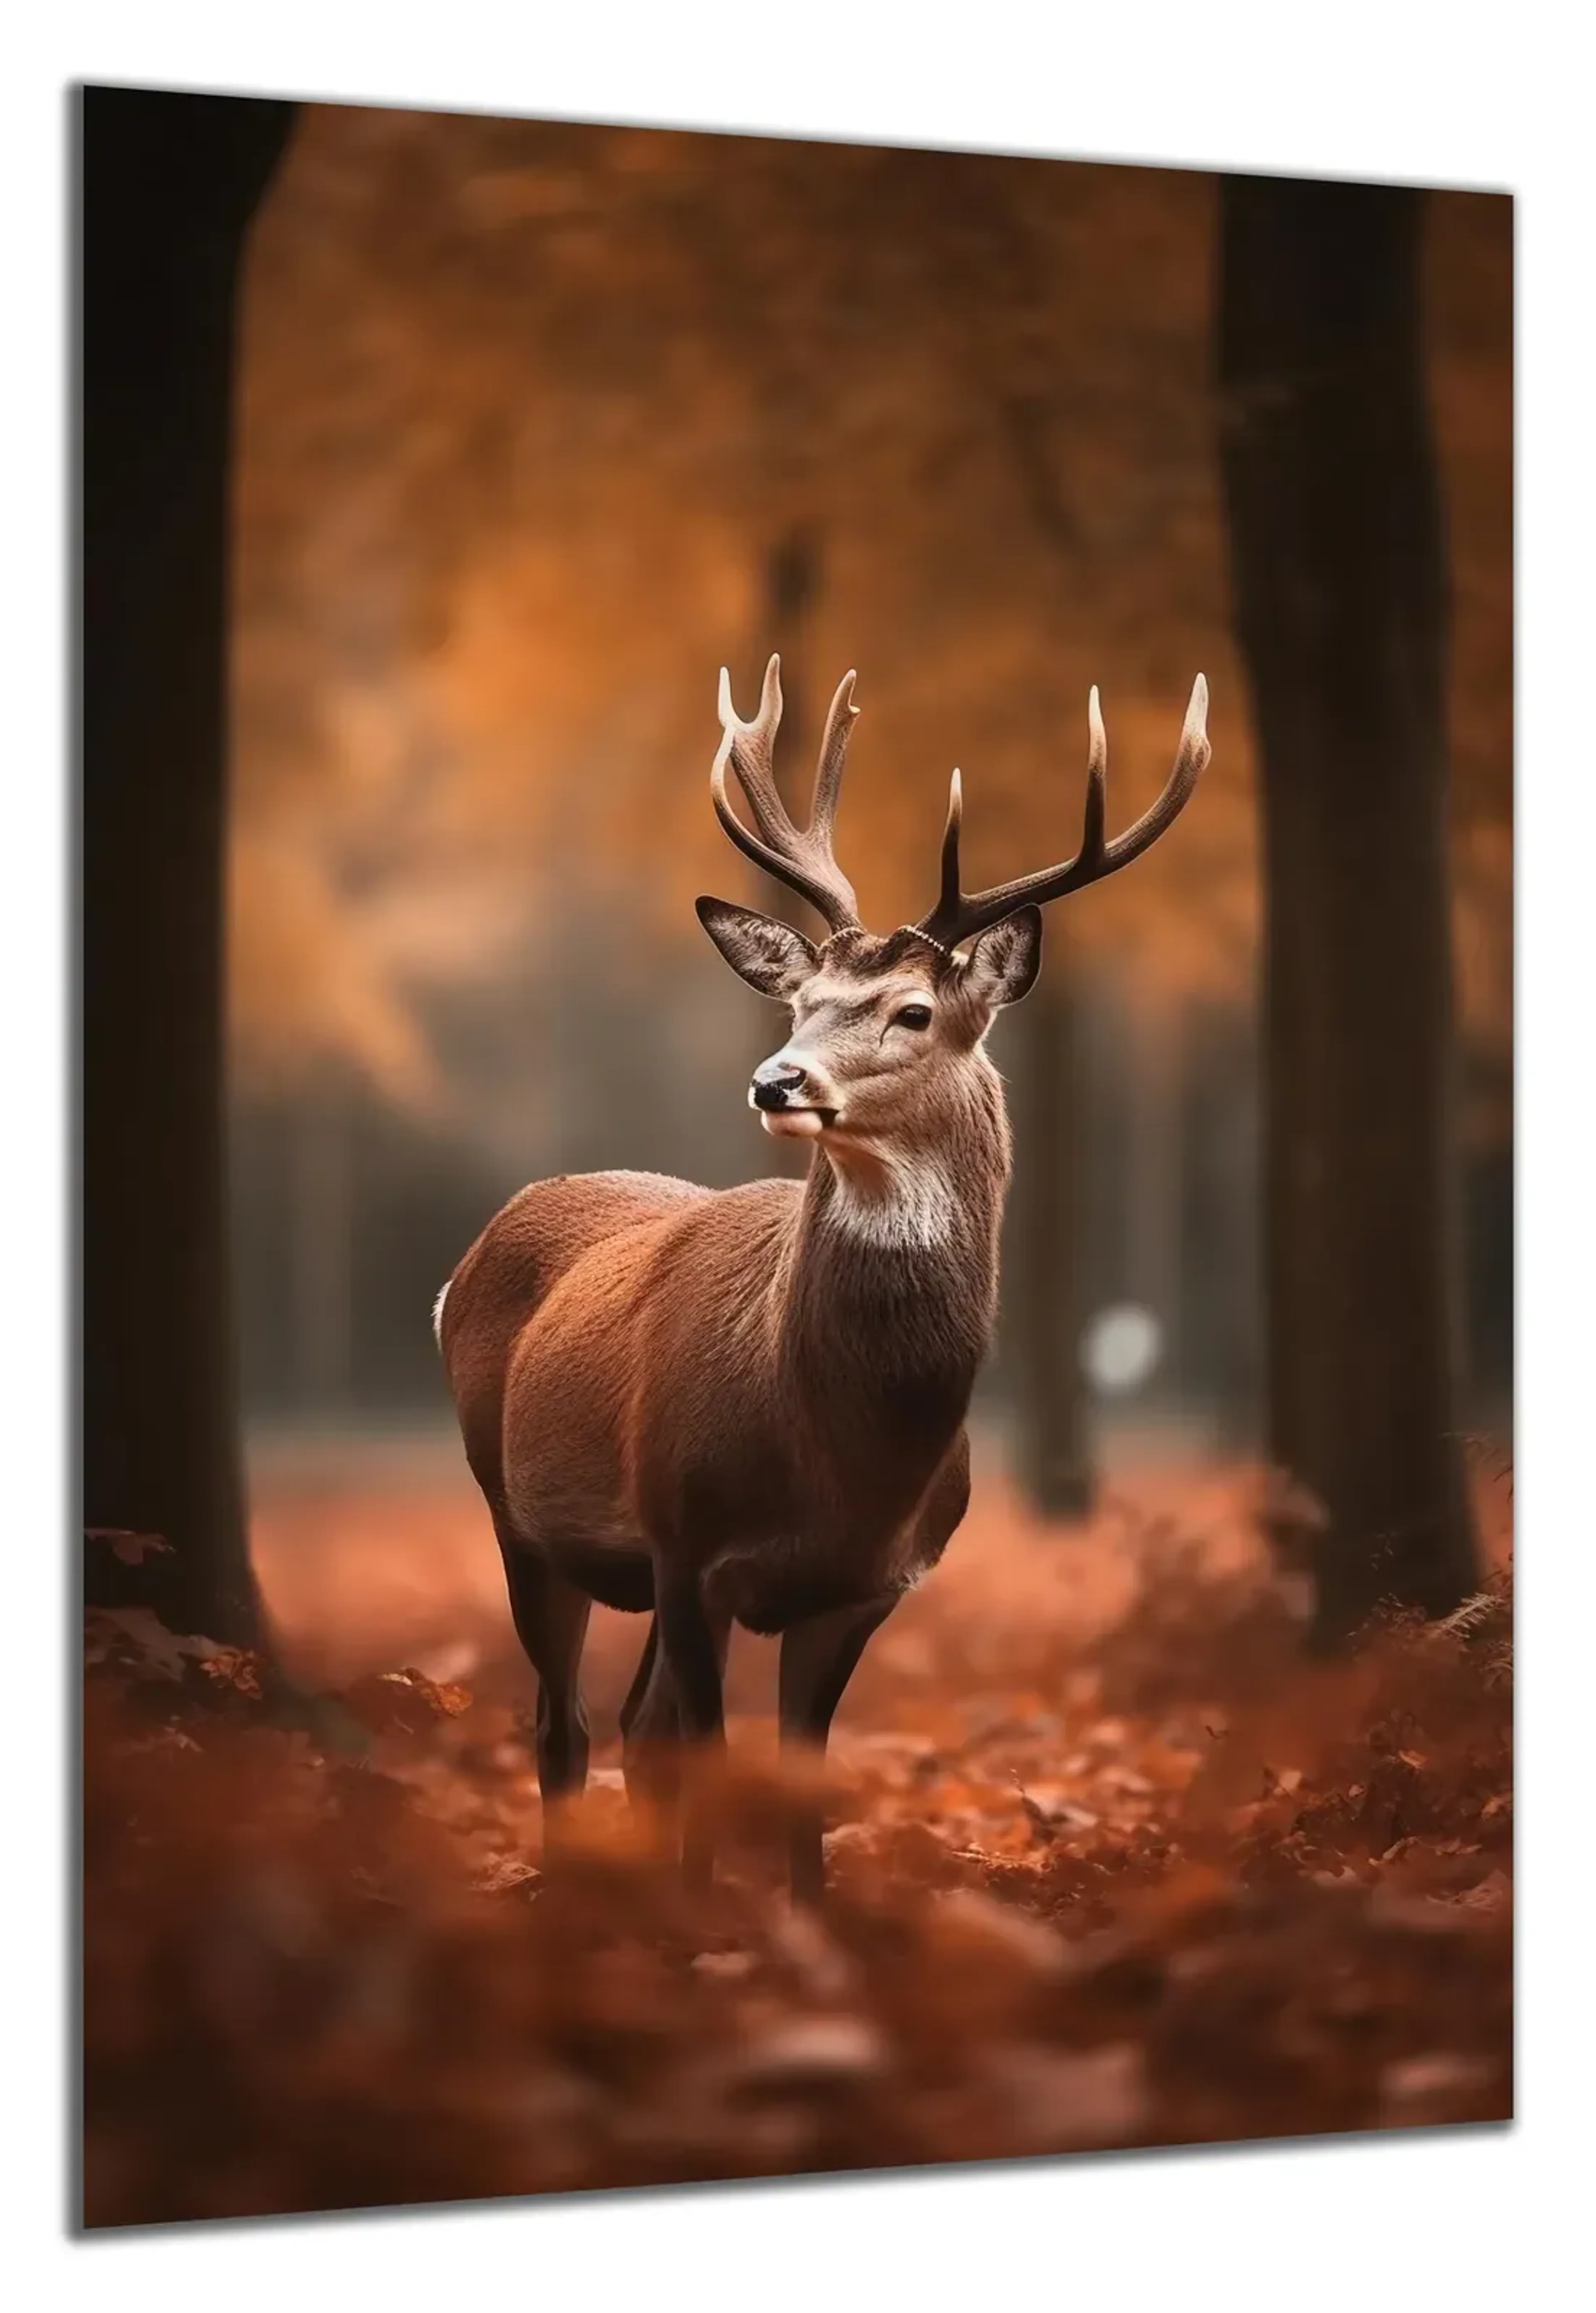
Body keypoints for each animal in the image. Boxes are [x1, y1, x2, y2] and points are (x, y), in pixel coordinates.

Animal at [436, 654, 1209, 1902]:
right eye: (798, 1004)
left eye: (914, 1010)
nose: (776, 1081)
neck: (839, 1456)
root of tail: (469, 1259)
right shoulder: (689, 1539)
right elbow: (704, 1754)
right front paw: (703, 1919)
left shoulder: (863, 1586)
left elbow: (794, 1776)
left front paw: (796, 1918)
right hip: (518, 1511)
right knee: (566, 1725)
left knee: (627, 1726)